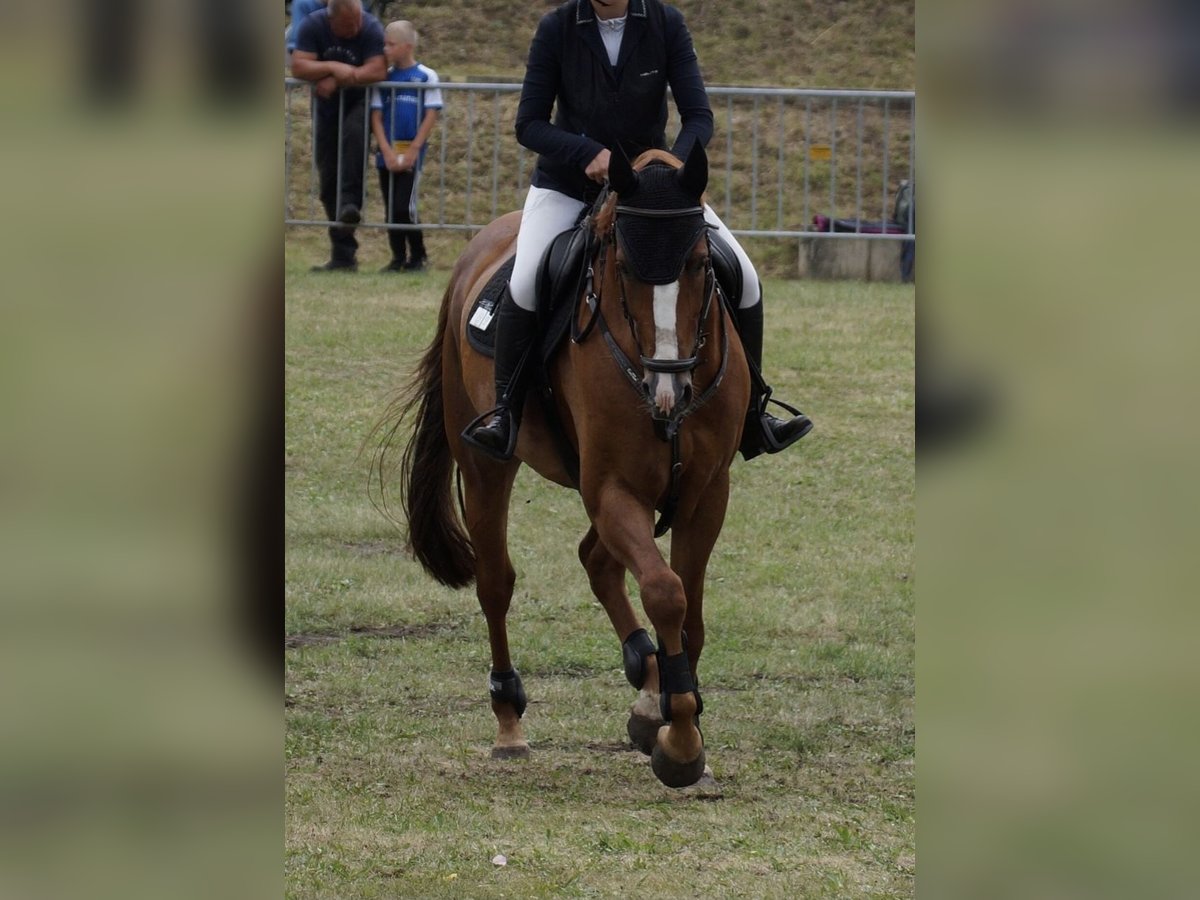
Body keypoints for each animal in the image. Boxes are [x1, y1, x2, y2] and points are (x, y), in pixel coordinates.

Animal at [376, 148, 748, 787]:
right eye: (623, 267)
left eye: (701, 263)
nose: (667, 390)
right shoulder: (613, 487)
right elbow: (666, 592)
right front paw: (680, 744)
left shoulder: (707, 490)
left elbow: (690, 609)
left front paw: (674, 713)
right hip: (486, 463)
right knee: (496, 582)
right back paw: (509, 720)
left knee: (596, 561)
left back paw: (646, 682)